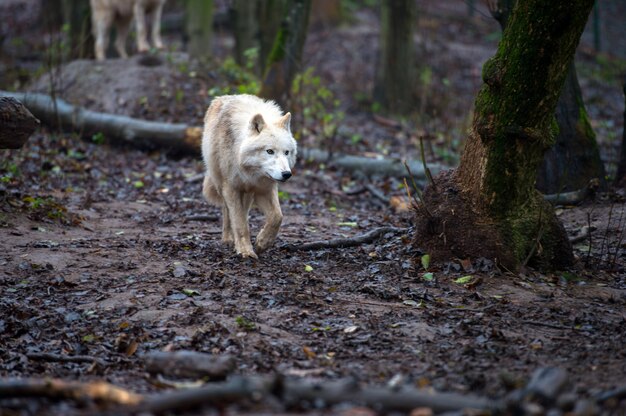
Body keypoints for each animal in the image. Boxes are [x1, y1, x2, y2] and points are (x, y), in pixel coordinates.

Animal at [201, 94, 296, 258]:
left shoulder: (264, 189)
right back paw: (228, 239)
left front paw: (262, 243)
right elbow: (239, 223)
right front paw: (246, 251)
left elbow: (277, 217)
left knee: (244, 212)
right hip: (221, 185)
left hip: (248, 194)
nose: (286, 174)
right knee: (228, 212)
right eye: (269, 151)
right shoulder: (231, 188)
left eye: (286, 152)